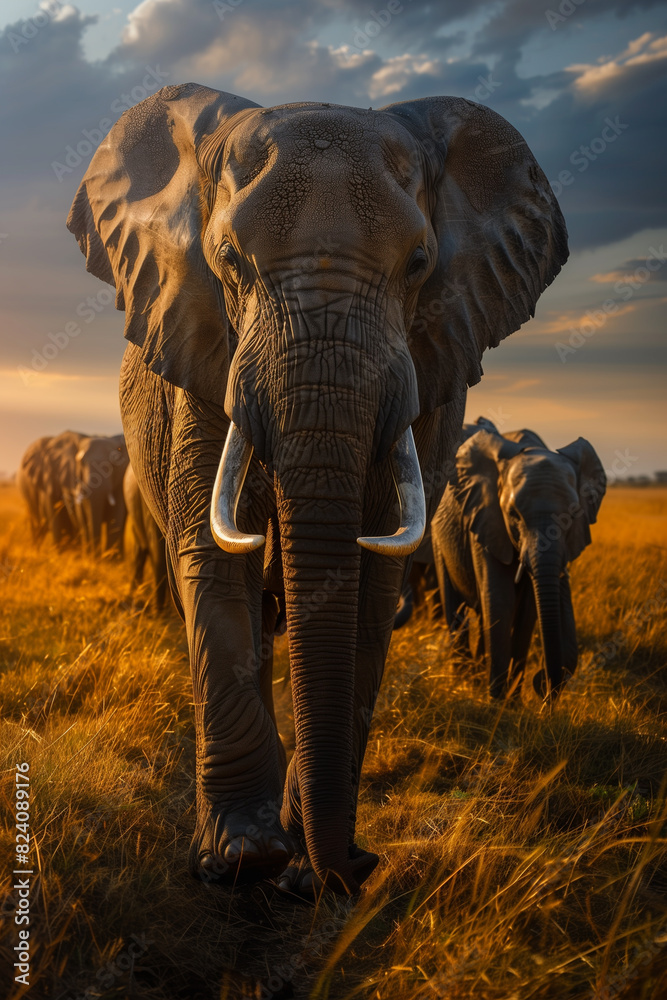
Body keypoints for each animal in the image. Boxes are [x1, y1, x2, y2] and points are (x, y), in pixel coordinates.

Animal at [431, 420, 606, 702]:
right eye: (513, 515)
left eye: (573, 515)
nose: (542, 682)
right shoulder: (487, 520)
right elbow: (500, 598)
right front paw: (496, 702)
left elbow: (527, 610)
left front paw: (512, 703)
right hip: (439, 538)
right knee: (455, 607)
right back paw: (462, 680)